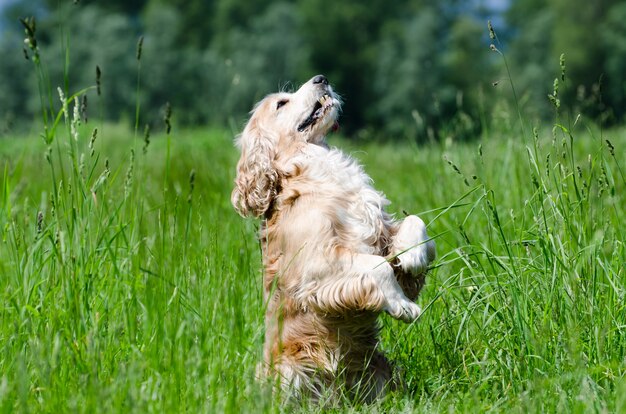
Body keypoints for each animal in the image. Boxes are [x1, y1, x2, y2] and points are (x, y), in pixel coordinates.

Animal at [230, 74, 434, 402]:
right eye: (281, 103)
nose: (321, 78)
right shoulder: (317, 263)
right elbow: (377, 267)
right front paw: (403, 305)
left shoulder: (380, 232)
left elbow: (415, 223)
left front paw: (413, 256)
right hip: (288, 374)